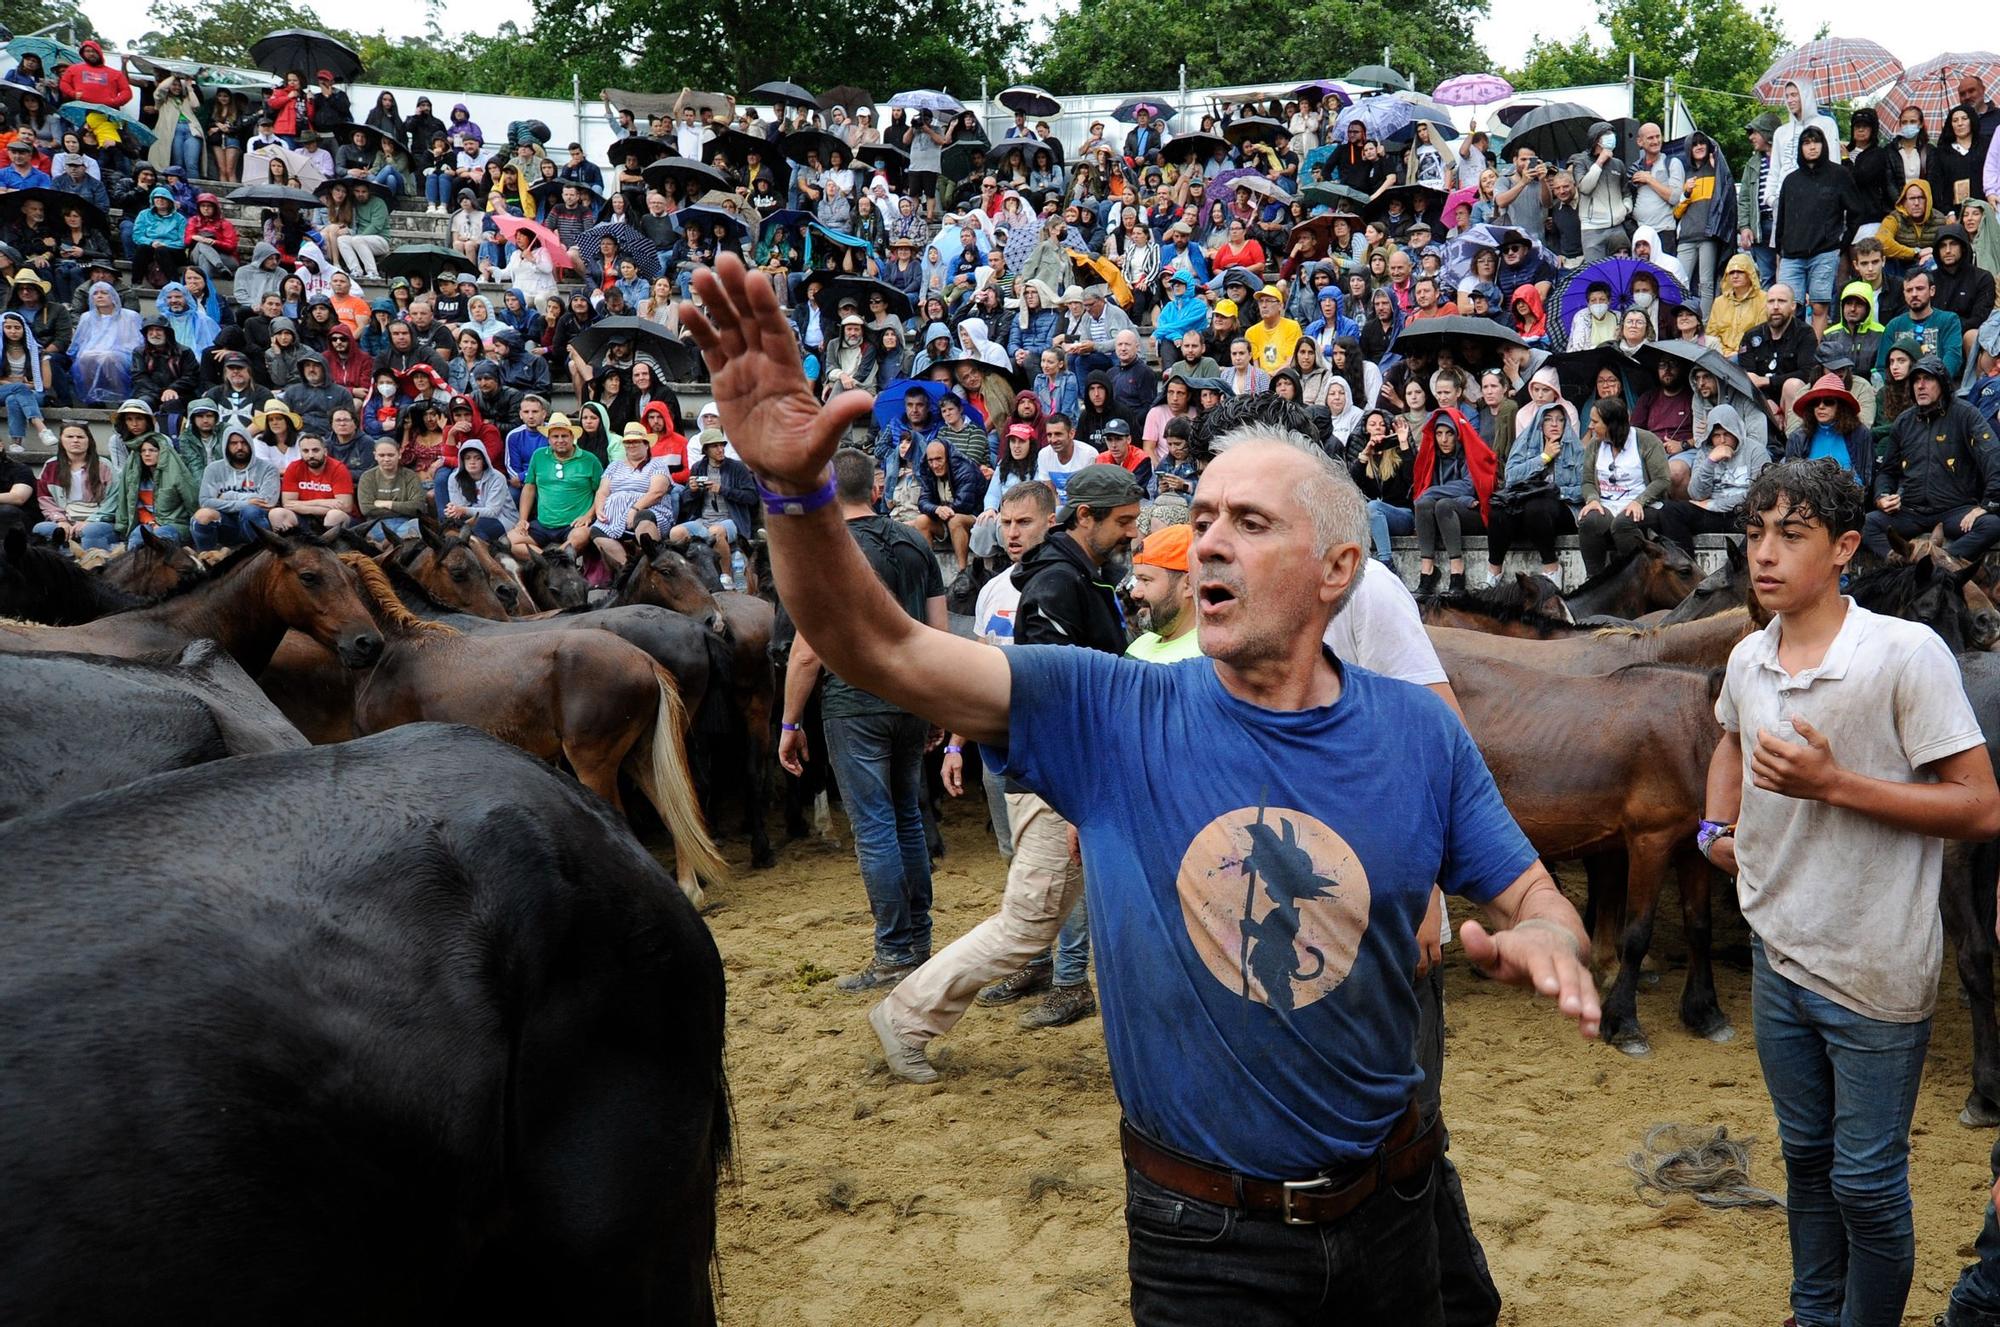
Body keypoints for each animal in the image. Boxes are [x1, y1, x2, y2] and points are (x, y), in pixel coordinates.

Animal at [334, 547, 728, 903]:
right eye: (667, 571)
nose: (715, 618)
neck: (398, 653)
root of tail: (646, 661)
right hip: (643, 753)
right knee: (675, 804)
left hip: (597, 762)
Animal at [1448, 659, 1728, 1055]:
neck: (1693, 733)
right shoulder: (1650, 842)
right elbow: (1637, 932)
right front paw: (1624, 1023)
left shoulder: (1693, 849)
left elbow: (1700, 927)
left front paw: (1704, 1013)